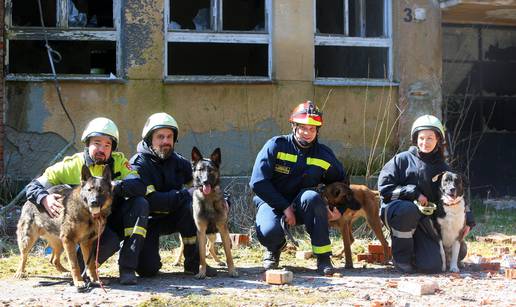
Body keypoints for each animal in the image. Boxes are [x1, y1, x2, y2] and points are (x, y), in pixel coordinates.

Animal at [190, 147, 237, 280]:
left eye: (210, 170)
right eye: (200, 169)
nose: (205, 181)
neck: (208, 198)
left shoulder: (223, 230)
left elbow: (228, 254)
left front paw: (232, 270)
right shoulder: (201, 231)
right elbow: (201, 256)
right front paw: (201, 272)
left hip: (213, 234)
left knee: (210, 247)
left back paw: (219, 261)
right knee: (206, 247)